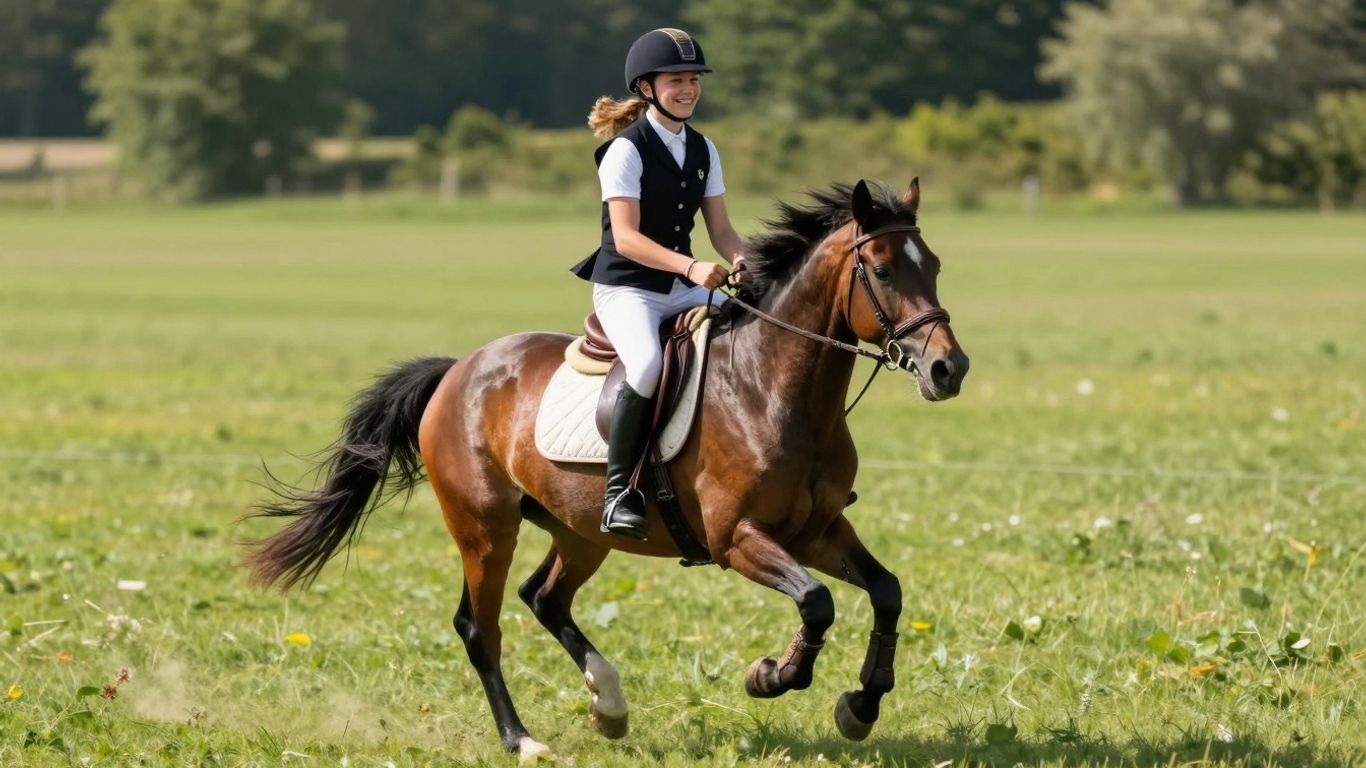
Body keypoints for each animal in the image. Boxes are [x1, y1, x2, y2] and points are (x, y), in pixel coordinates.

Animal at [244, 178, 969, 761]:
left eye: (933, 265)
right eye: (881, 271)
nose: (948, 369)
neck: (772, 388)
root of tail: (459, 370)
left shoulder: (817, 531)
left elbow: (886, 591)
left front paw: (860, 706)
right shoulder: (737, 539)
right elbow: (817, 603)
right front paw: (771, 676)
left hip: (581, 529)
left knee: (545, 597)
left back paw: (609, 706)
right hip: (485, 527)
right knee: (482, 627)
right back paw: (523, 740)